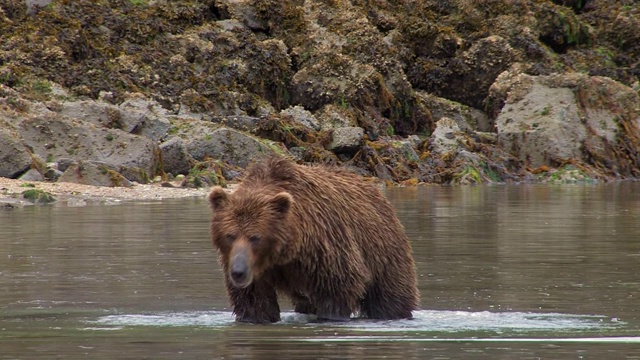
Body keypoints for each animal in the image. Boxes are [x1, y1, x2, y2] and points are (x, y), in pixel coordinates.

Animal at [209, 157, 420, 324]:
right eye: (230, 235)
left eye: (255, 237)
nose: (238, 272)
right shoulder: (257, 272)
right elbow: (254, 301)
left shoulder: (324, 247)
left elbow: (339, 286)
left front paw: (330, 316)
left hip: (384, 253)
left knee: (391, 297)